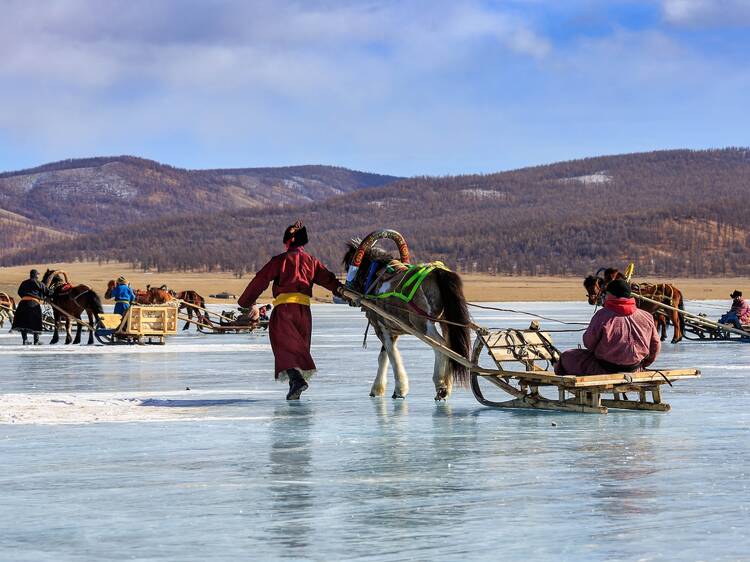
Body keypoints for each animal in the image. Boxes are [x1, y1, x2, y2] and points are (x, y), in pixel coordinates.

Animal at [346, 236, 472, 398]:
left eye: (348, 265)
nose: (347, 294)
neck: (375, 277)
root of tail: (438, 272)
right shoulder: (391, 329)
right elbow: (383, 357)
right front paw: (378, 389)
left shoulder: (381, 327)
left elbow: (392, 355)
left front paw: (399, 389)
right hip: (445, 321)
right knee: (451, 347)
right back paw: (447, 385)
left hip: (422, 324)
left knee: (441, 345)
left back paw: (441, 385)